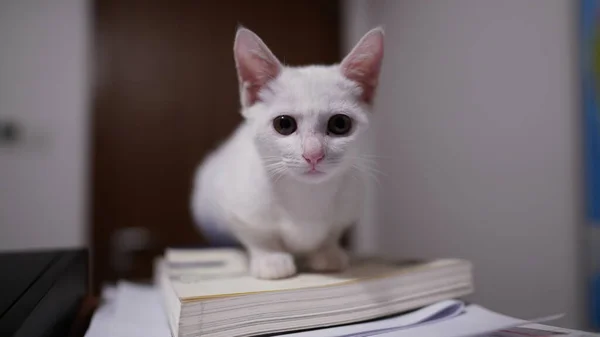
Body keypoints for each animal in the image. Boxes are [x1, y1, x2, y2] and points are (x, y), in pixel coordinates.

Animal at [191, 26, 384, 278]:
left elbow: (331, 233)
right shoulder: (237, 208)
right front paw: (270, 258)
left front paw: (327, 252)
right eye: (284, 124)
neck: (307, 196)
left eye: (340, 124)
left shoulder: (350, 202)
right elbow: (258, 236)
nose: (313, 154)